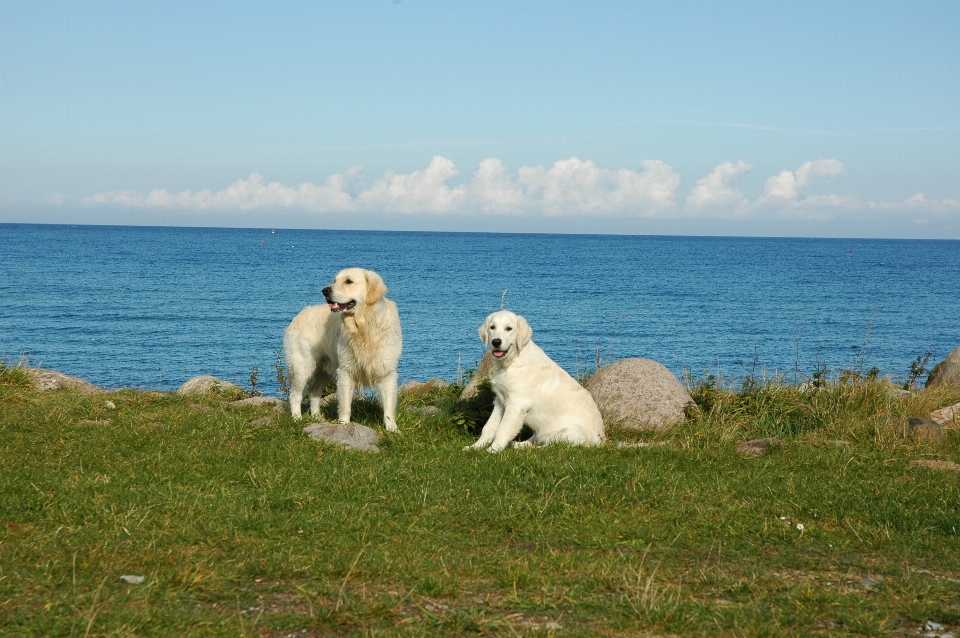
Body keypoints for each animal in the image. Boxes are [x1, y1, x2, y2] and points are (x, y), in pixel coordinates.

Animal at [284, 268, 404, 432]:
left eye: (348, 281)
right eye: (335, 280)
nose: (325, 290)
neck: (364, 326)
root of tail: (300, 314)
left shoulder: (387, 372)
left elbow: (389, 406)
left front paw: (392, 429)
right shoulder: (346, 370)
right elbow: (345, 405)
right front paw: (344, 424)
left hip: (325, 370)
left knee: (314, 392)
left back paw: (317, 418)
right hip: (303, 367)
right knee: (295, 396)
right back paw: (297, 419)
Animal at [466, 312, 608, 456]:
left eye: (509, 328)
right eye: (492, 327)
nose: (496, 342)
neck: (512, 362)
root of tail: (601, 442)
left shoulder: (516, 404)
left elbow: (503, 429)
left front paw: (492, 451)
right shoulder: (500, 401)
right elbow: (488, 427)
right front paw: (475, 447)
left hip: (569, 433)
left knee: (551, 447)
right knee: (535, 439)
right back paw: (516, 445)